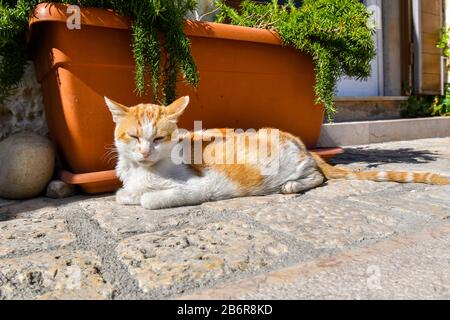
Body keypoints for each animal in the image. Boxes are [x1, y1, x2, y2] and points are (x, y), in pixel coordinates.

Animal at [103, 95, 448, 210]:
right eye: (134, 136)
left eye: (159, 138)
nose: (145, 152)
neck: (145, 171)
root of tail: (304, 145)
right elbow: (122, 195)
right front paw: (129, 194)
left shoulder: (198, 187)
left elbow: (148, 200)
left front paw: (145, 196)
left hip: (292, 163)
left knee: (318, 176)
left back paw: (292, 186)